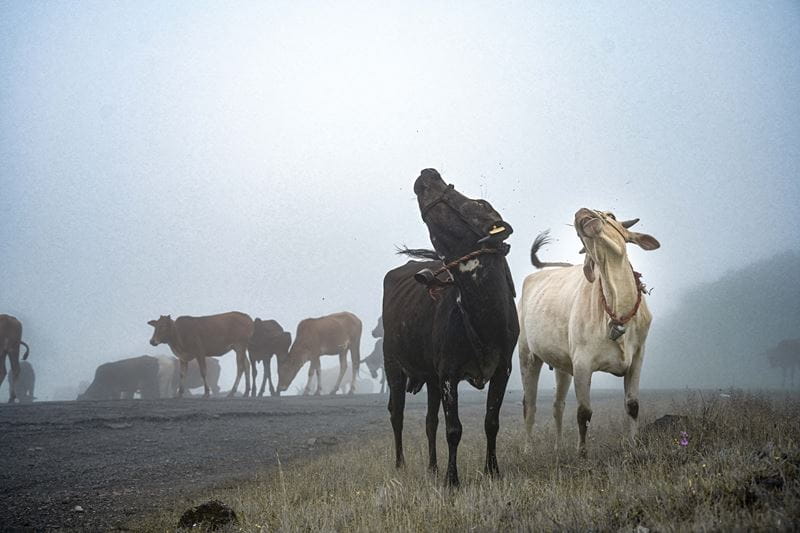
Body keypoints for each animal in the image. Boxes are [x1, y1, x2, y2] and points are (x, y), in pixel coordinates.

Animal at [383, 169, 518, 487]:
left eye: (481, 203)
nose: (428, 173)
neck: (484, 317)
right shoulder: (448, 374)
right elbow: (454, 429)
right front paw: (451, 480)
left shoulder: (502, 368)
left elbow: (491, 422)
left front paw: (492, 470)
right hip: (393, 365)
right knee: (397, 414)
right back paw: (401, 465)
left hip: (429, 377)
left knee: (430, 421)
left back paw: (432, 467)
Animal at [518, 209, 660, 457]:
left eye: (612, 215)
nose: (582, 213)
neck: (618, 307)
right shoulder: (582, 363)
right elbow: (584, 412)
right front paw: (582, 454)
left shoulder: (638, 356)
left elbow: (632, 405)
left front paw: (633, 446)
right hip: (527, 355)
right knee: (530, 405)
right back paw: (528, 450)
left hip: (562, 364)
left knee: (557, 405)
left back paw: (558, 448)